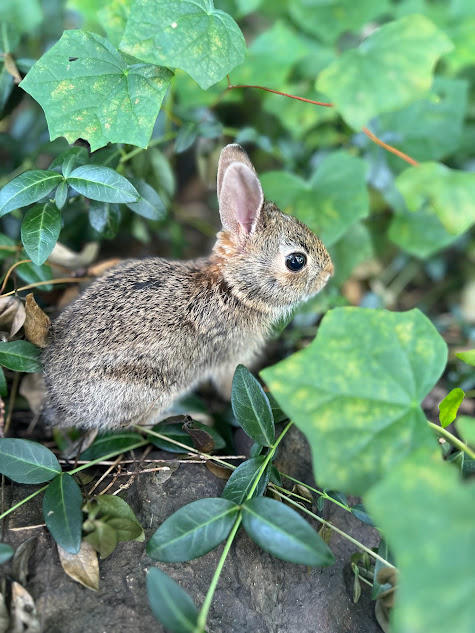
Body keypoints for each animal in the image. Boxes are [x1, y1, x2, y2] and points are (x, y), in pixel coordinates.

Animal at [43, 144, 334, 430]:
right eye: (296, 261)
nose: (329, 273)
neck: (234, 289)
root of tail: (62, 403)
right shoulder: (230, 357)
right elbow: (229, 385)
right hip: (151, 385)